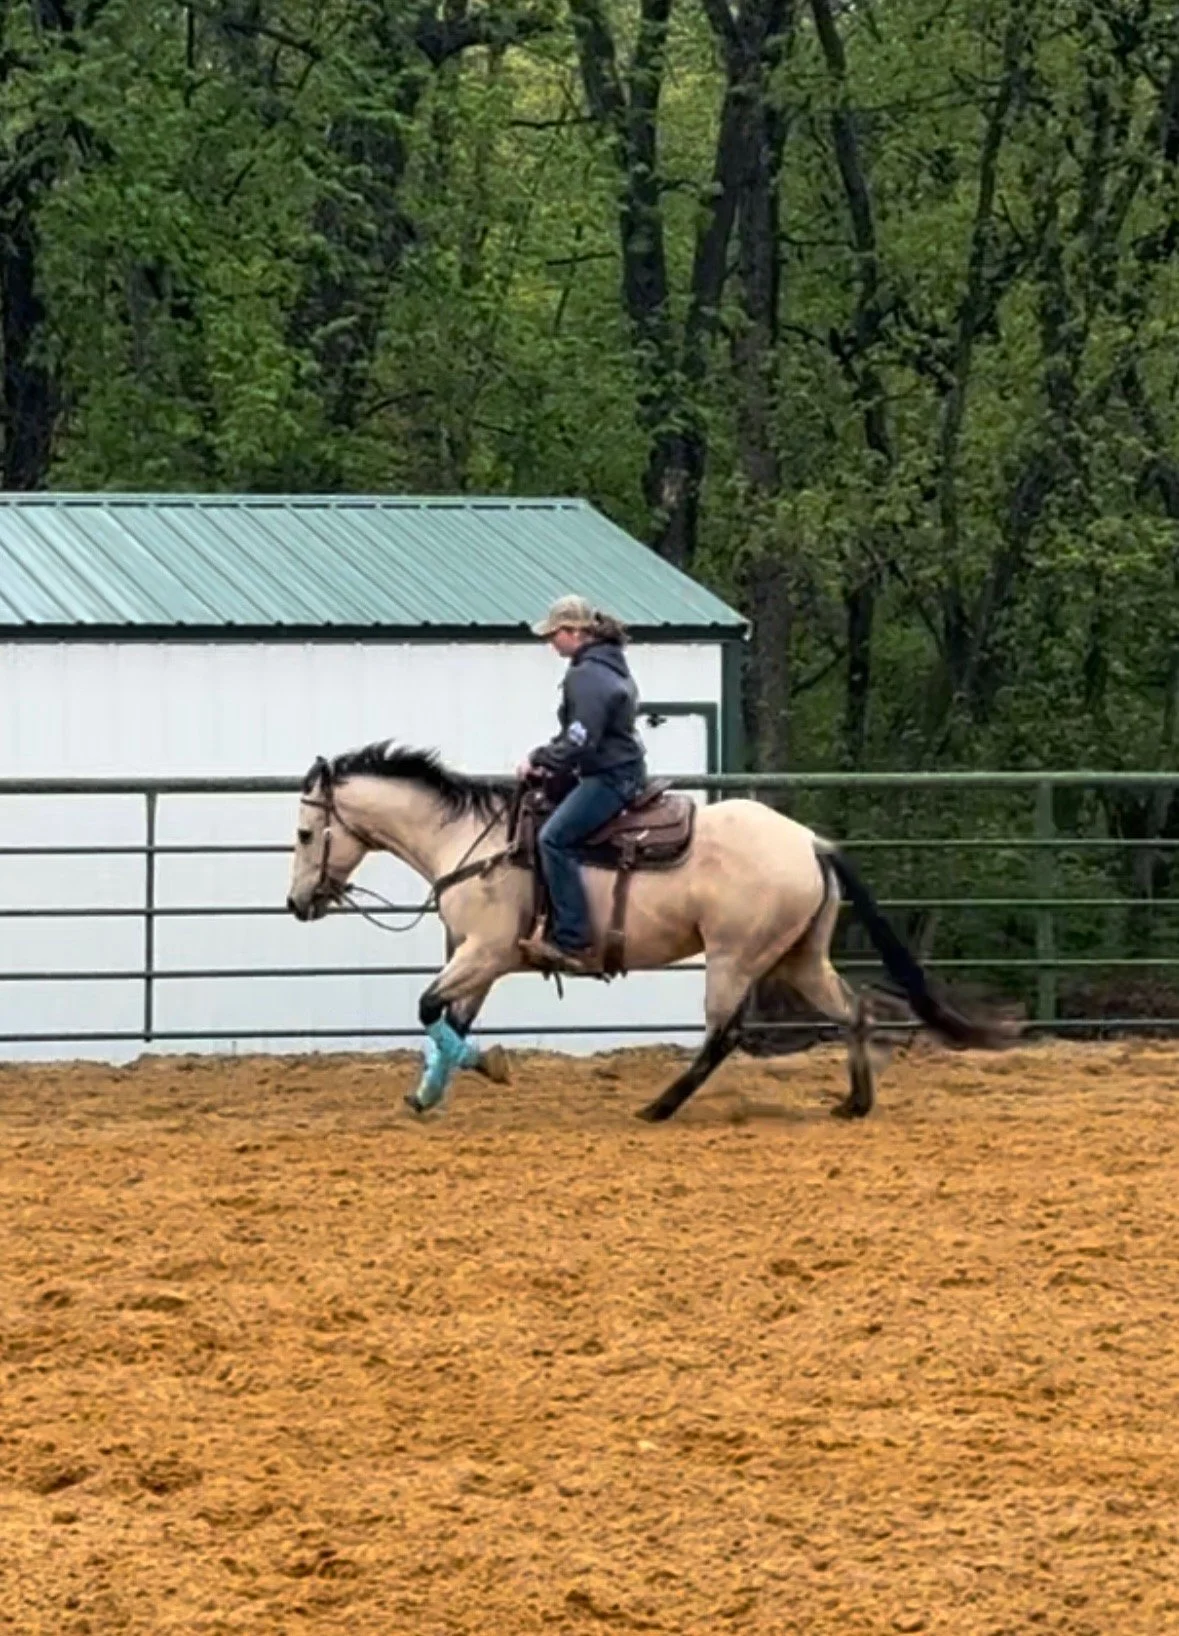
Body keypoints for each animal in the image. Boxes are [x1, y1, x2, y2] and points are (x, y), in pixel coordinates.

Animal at [285, 741, 1014, 1119]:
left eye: (303, 833)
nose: (295, 903)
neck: (472, 842)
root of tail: (811, 842)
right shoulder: (483, 961)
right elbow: (450, 1018)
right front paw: (429, 1092)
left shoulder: (484, 952)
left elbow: (429, 1007)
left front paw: (484, 1067)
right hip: (800, 957)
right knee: (854, 1010)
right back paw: (854, 1103)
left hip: (732, 957)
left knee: (724, 1036)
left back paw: (659, 1107)